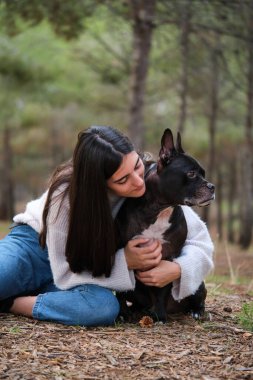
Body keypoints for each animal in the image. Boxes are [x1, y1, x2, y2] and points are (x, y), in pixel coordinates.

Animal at [115, 127, 215, 320]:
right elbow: (121, 290)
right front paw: (122, 313)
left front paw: (160, 316)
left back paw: (196, 312)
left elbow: (162, 288)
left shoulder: (168, 256)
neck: (160, 209)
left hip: (196, 285)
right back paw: (136, 310)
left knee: (197, 299)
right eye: (191, 173)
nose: (212, 186)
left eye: (204, 174)